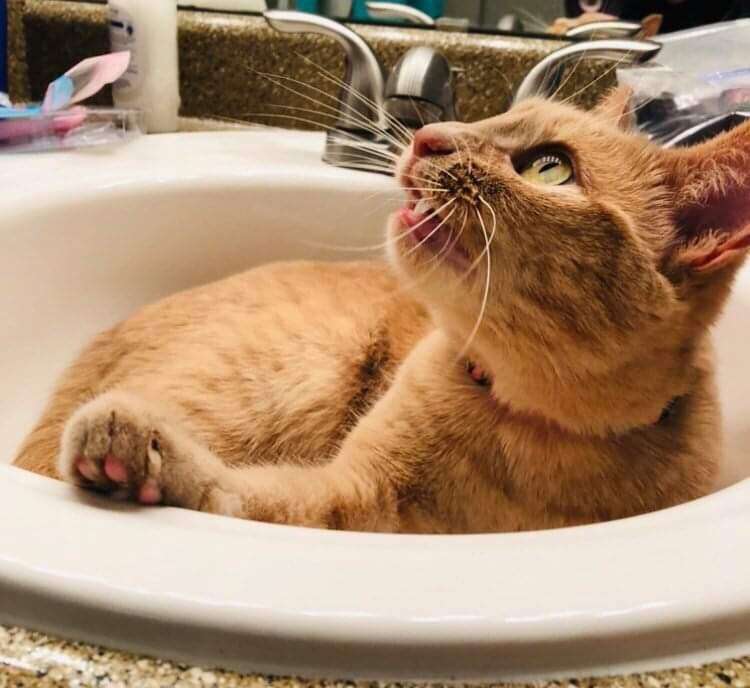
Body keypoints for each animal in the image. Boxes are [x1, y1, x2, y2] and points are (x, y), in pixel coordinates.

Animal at [13, 87, 750, 532]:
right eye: (492, 117)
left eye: (550, 167)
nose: (427, 136)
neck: (532, 431)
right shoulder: (349, 492)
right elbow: (241, 492)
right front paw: (141, 457)